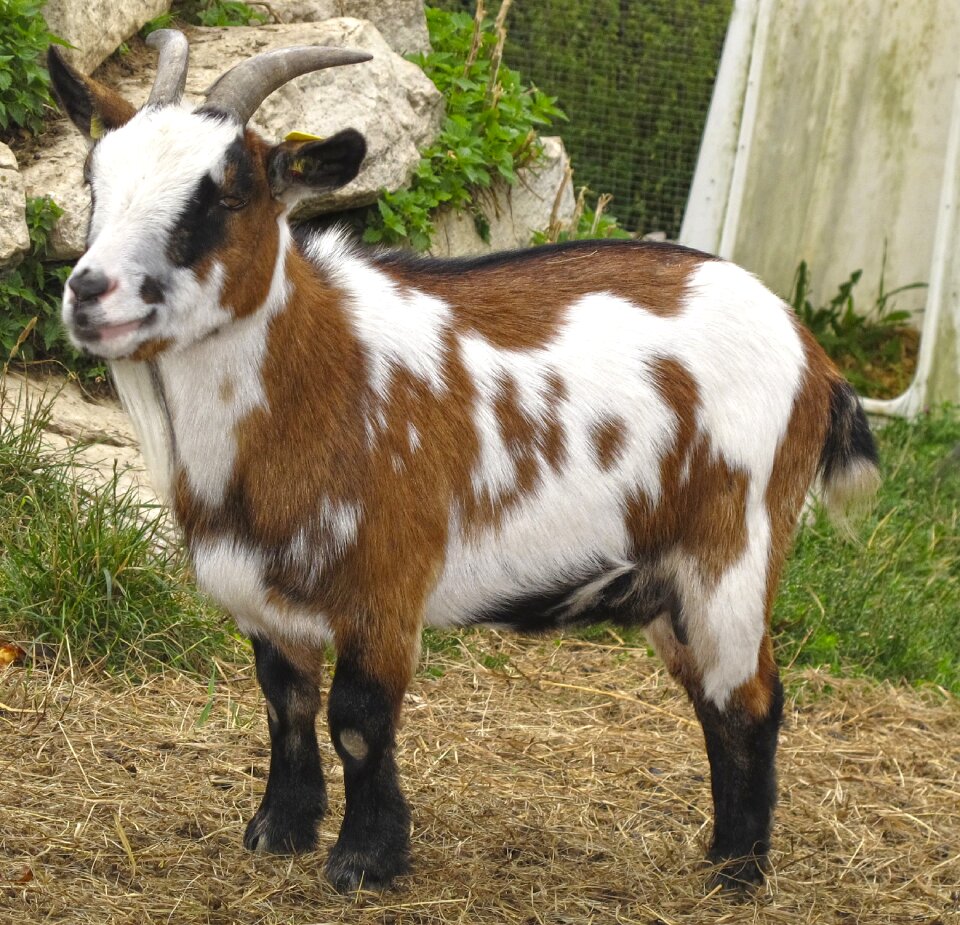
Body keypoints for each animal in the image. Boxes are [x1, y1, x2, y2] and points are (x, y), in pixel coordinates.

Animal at [50, 30, 876, 896]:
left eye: (226, 192)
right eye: (93, 178)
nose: (90, 291)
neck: (315, 376)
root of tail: (811, 352)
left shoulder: (386, 585)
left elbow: (357, 721)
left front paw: (365, 859)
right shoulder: (264, 596)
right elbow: (285, 705)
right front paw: (277, 831)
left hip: (735, 554)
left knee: (751, 700)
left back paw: (738, 872)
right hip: (669, 585)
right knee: (718, 702)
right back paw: (725, 856)